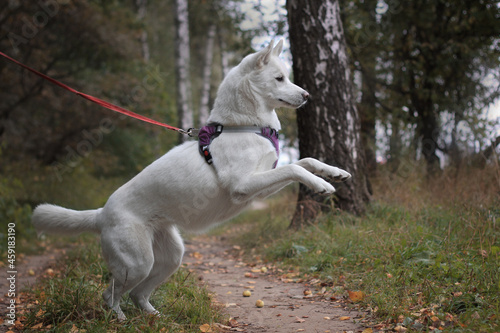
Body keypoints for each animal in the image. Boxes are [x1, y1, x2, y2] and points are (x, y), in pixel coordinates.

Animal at [32, 39, 352, 320]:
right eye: (280, 78)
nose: (308, 96)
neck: (242, 126)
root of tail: (101, 213)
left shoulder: (259, 187)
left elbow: (304, 162)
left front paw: (333, 172)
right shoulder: (243, 186)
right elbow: (294, 169)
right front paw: (322, 185)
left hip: (170, 257)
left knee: (137, 294)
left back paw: (156, 318)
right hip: (136, 264)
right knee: (109, 295)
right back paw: (119, 320)